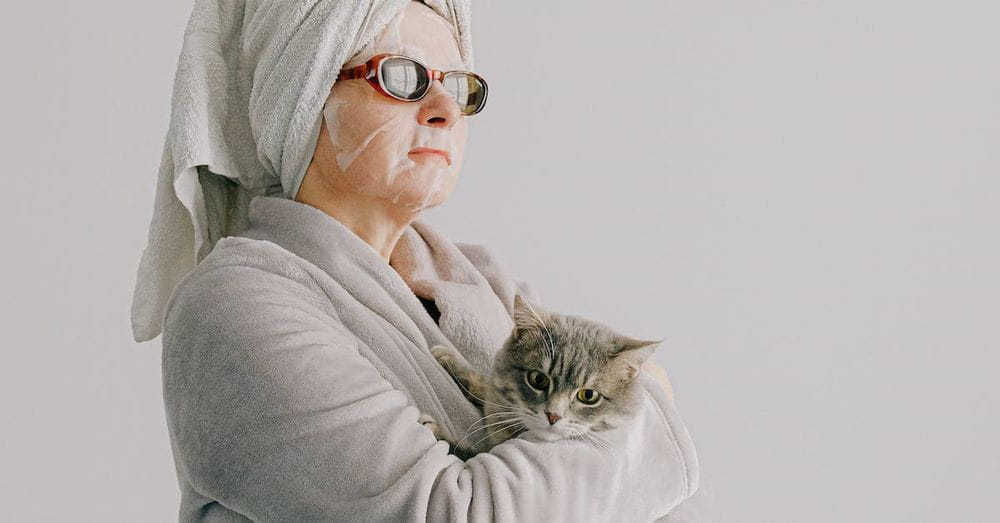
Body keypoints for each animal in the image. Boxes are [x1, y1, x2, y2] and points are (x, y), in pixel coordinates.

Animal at [418, 294, 660, 462]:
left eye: (588, 395)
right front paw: (451, 361)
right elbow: (487, 387)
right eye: (538, 379)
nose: (553, 416)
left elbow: (464, 455)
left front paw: (432, 430)